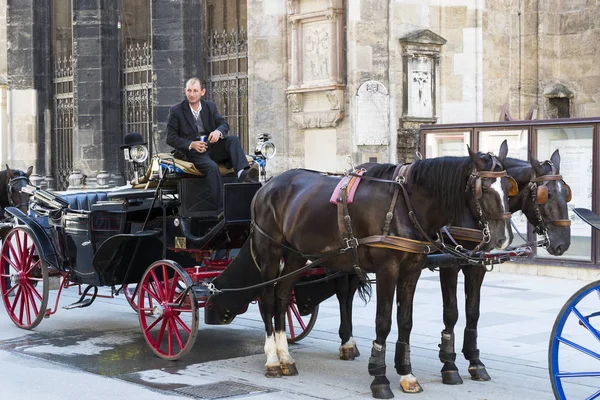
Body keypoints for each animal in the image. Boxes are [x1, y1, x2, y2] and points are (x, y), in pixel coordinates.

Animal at [205, 145, 510, 398]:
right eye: (484, 189)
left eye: (509, 187)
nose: (500, 240)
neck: (405, 204)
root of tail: (267, 185)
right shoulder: (388, 269)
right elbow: (383, 322)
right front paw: (380, 378)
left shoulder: (411, 271)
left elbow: (406, 321)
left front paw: (406, 374)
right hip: (270, 252)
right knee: (268, 299)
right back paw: (271, 359)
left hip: (294, 256)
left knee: (282, 297)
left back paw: (285, 358)